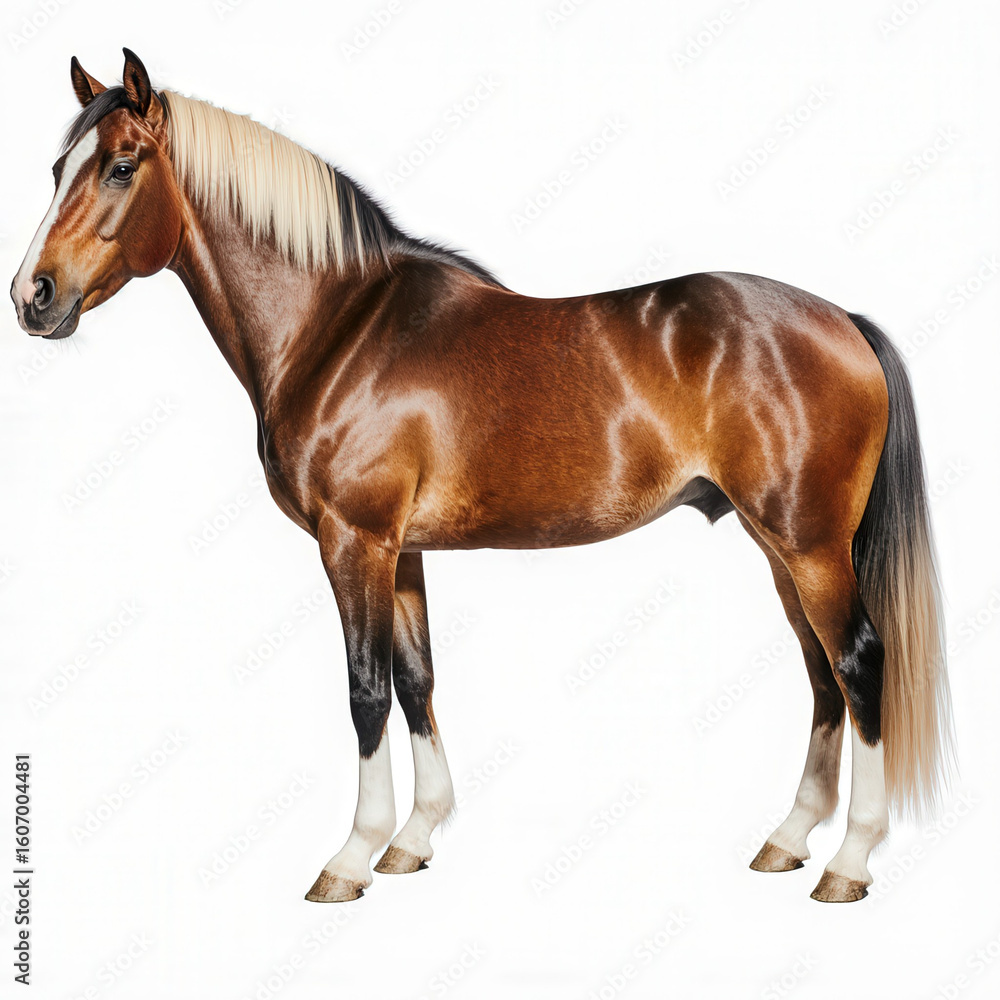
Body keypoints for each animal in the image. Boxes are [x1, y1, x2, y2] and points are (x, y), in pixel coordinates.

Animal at [11, 50, 954, 904]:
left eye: (121, 166)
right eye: (59, 168)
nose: (32, 296)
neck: (340, 326)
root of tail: (842, 320)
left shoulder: (353, 542)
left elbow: (364, 691)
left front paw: (350, 859)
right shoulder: (401, 552)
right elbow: (417, 680)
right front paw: (413, 840)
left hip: (810, 545)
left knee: (858, 663)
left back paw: (848, 862)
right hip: (782, 545)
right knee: (821, 674)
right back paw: (788, 840)